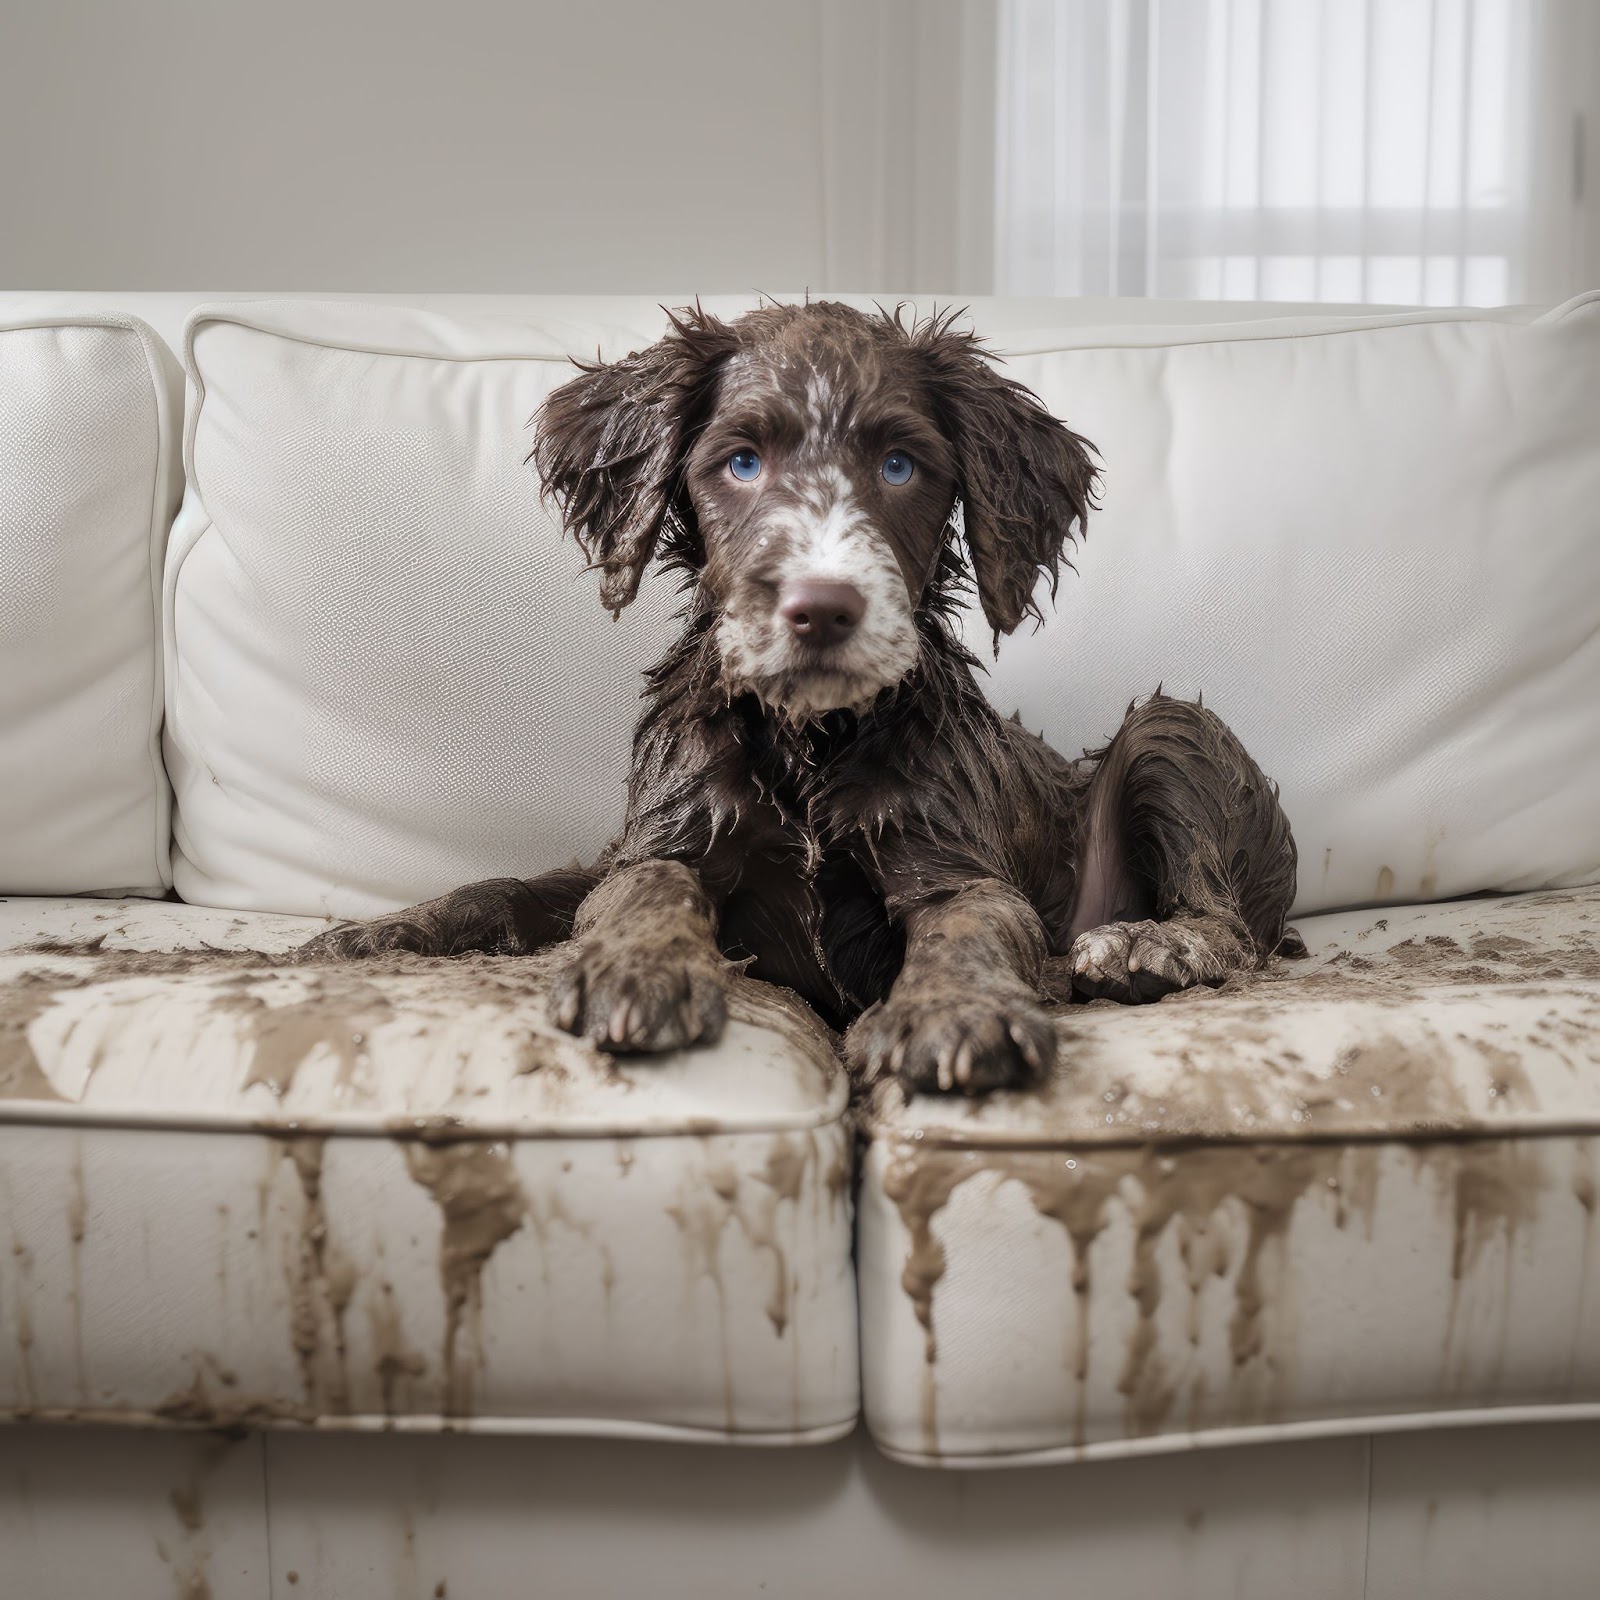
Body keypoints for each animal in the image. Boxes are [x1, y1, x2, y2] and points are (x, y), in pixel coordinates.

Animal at [305, 304, 1305, 1094]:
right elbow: (589, 884)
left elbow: (974, 926)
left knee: (1230, 925)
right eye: (742, 462)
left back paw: (1148, 948)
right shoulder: (659, 835)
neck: (809, 737)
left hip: (1173, 734)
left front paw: (956, 1015)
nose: (822, 608)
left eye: (901, 467)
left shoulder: (949, 858)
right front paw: (394, 936)